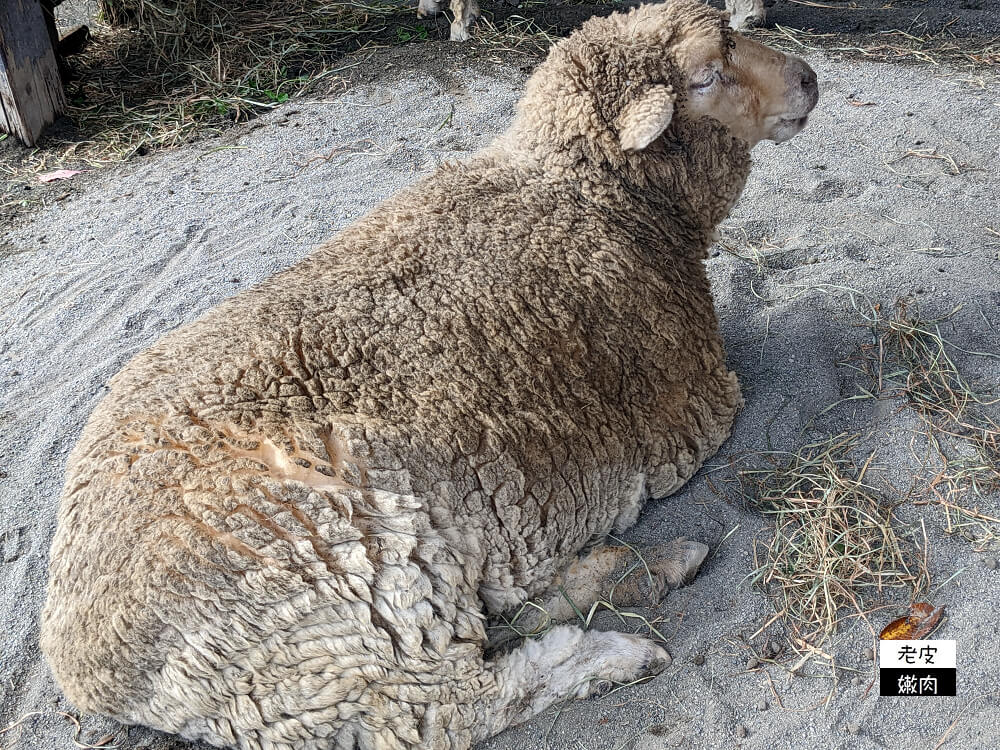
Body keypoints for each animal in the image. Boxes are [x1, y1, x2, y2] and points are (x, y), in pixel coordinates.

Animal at [41, 2, 820, 748]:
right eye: (705, 76)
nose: (810, 77)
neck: (588, 193)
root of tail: (88, 671)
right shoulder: (699, 398)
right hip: (340, 579)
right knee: (449, 705)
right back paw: (613, 649)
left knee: (493, 624)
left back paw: (633, 568)